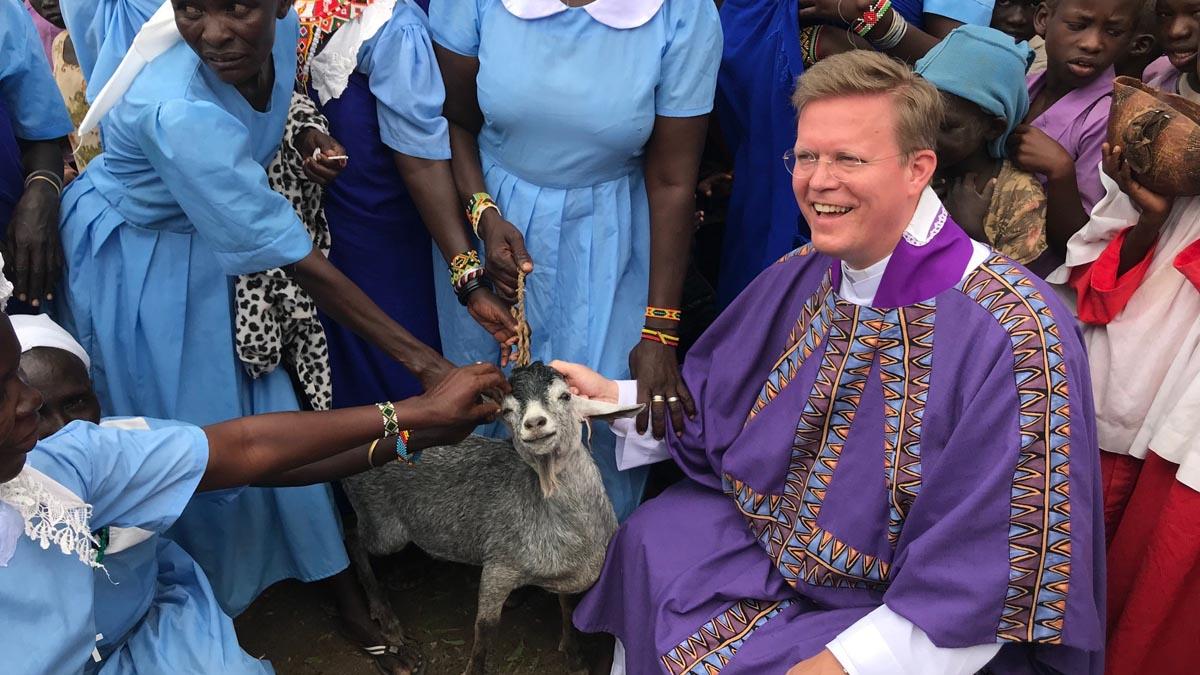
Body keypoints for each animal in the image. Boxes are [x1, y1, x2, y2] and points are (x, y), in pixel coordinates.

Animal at [340, 362, 638, 672]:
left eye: (565, 396)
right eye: (506, 411)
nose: (534, 423)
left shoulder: (567, 575)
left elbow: (567, 608)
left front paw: (574, 656)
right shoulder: (499, 566)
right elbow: (485, 629)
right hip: (383, 525)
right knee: (352, 538)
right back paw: (386, 618)